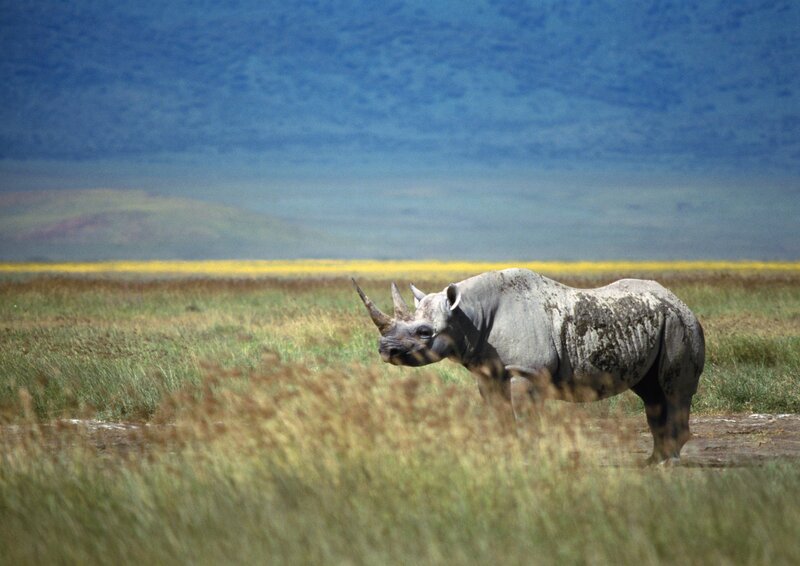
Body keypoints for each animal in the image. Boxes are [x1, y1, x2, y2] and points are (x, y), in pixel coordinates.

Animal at [353, 268, 705, 464]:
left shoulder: (526, 370)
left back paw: (667, 464)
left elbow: (525, 417)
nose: (386, 350)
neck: (468, 315)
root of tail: (681, 302)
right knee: (651, 395)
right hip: (662, 322)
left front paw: (527, 457)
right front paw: (505, 454)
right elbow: (499, 414)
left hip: (681, 324)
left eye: (424, 332)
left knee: (672, 392)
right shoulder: (488, 371)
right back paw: (652, 462)